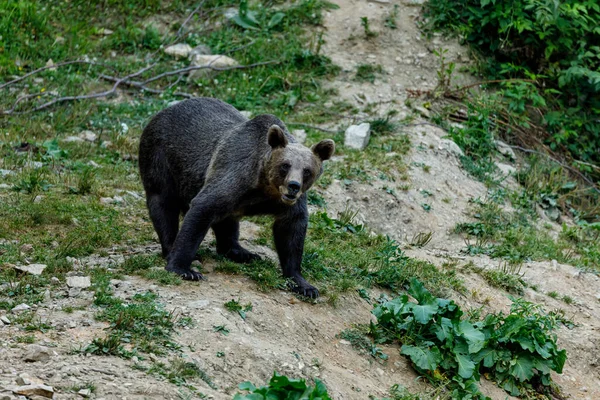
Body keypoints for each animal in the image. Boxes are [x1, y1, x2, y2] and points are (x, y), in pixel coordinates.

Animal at [139, 97, 336, 296]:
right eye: (285, 165)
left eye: (307, 170)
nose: (293, 186)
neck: (264, 187)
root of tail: (163, 111)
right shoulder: (234, 176)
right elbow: (202, 208)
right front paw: (184, 269)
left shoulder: (287, 204)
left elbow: (292, 231)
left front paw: (304, 284)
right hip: (161, 158)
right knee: (163, 203)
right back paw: (171, 246)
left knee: (227, 221)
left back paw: (244, 253)